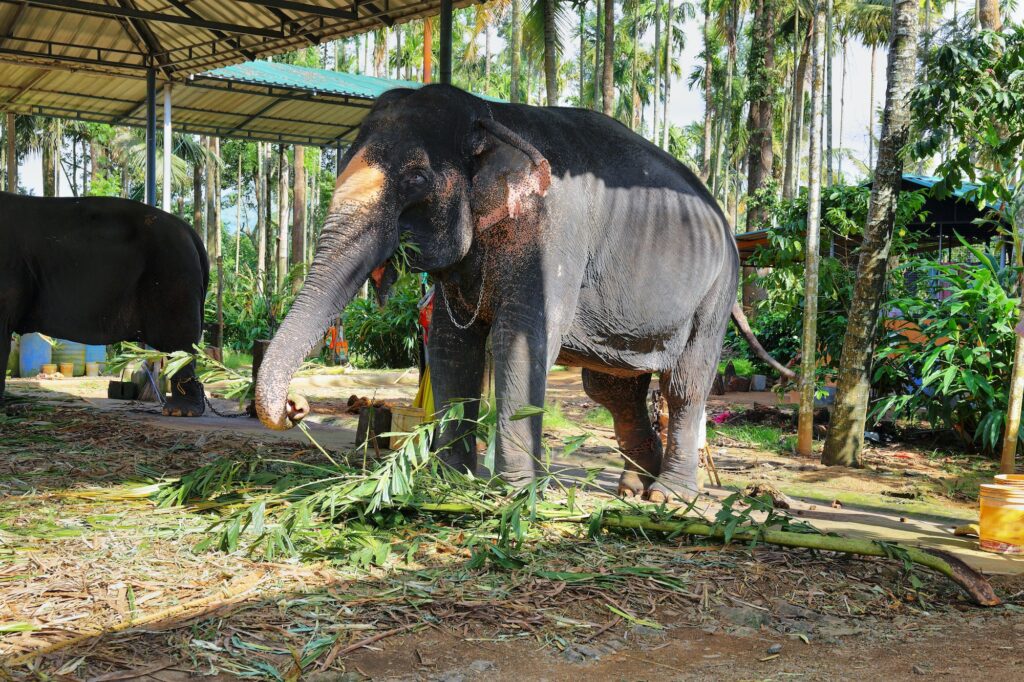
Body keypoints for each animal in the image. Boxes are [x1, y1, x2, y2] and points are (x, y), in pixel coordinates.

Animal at [253, 84, 790, 499]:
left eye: (416, 177)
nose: (296, 407)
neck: (490, 115)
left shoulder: (555, 233)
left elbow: (519, 338)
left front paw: (512, 493)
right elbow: (452, 345)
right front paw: (451, 481)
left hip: (716, 292)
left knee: (684, 385)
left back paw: (669, 497)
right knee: (614, 390)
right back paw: (633, 489)